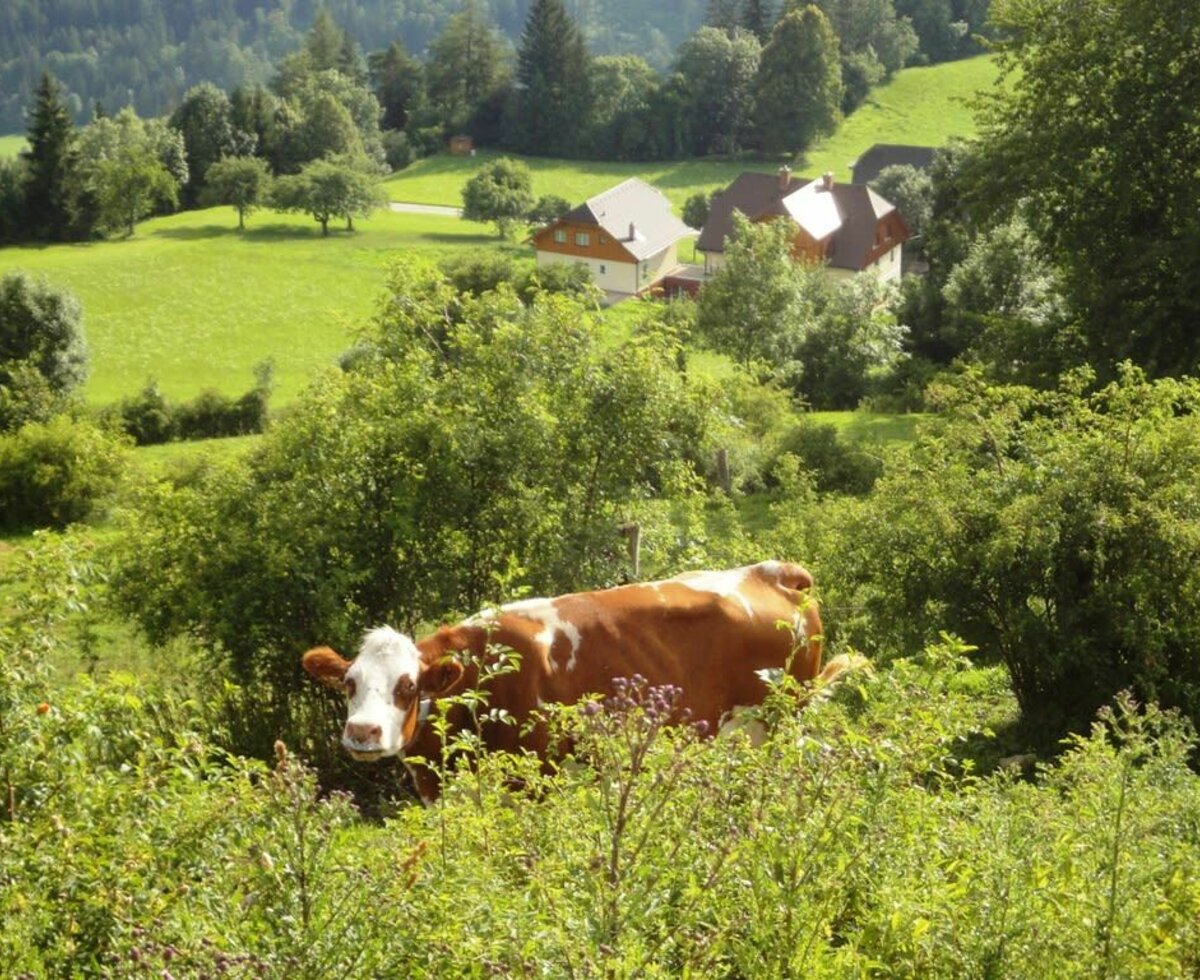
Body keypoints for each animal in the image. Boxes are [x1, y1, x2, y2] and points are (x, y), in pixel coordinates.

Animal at [300, 561, 844, 801]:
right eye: (349, 683)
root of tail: (773, 571)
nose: (363, 733)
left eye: (409, 686)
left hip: (782, 726)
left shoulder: (535, 783)